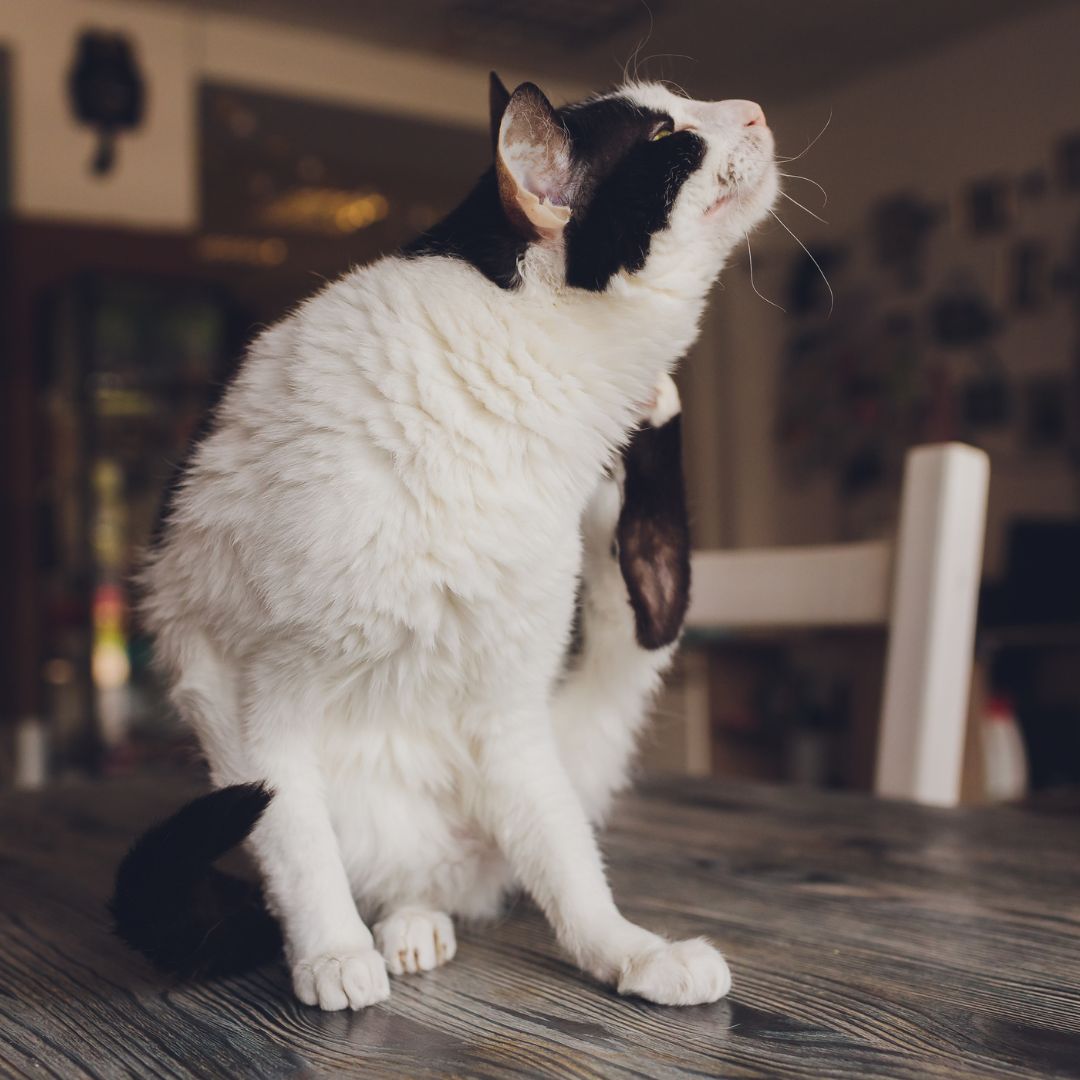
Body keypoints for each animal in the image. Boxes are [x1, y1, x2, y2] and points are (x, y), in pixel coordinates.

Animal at [111, 76, 777, 1010]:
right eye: (664, 134)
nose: (754, 109)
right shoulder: (247, 695)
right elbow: (297, 844)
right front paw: (332, 955)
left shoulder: (510, 705)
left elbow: (573, 874)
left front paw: (627, 954)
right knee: (380, 873)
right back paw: (403, 928)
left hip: (581, 706)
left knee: (636, 624)